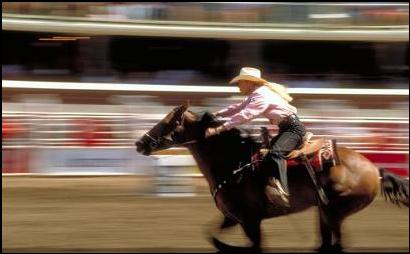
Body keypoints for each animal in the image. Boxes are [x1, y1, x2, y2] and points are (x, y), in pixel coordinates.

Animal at [135, 104, 406, 252]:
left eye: (166, 123)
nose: (140, 143)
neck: (234, 161)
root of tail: (374, 169)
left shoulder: (250, 221)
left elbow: (254, 246)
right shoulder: (231, 218)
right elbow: (210, 235)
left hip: (335, 212)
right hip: (324, 211)